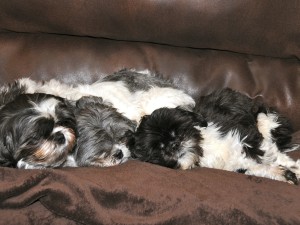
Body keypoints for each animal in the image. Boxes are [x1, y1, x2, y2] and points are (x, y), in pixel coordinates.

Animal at [131, 88, 300, 185]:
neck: (205, 149)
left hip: (264, 117)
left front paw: (295, 168)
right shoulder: (238, 164)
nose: (173, 144)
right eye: (158, 148)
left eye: (178, 130)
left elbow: (271, 155)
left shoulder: (248, 138)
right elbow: (259, 167)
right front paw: (285, 175)